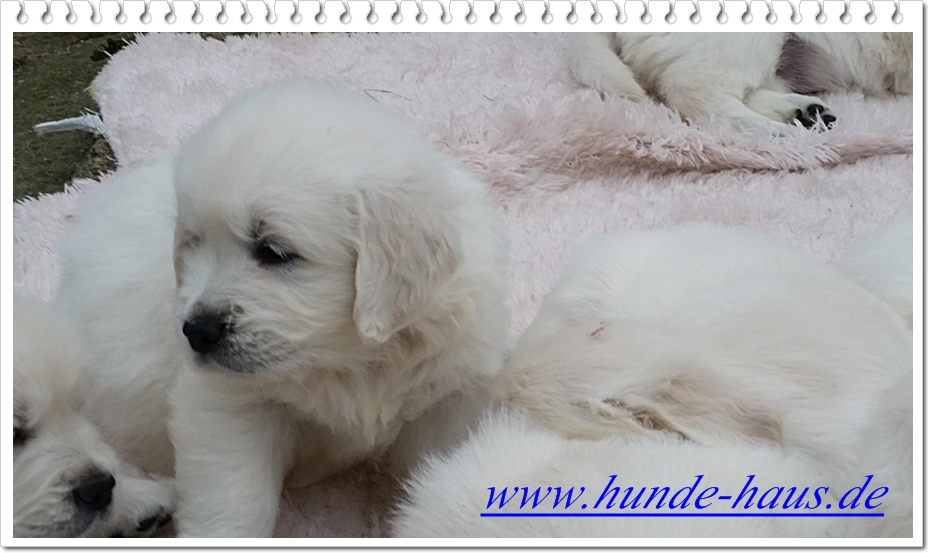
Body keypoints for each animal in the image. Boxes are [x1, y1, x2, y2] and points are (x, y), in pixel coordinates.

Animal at [53, 81, 508, 537]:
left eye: (274, 252)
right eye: (194, 243)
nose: (197, 331)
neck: (352, 360)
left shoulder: (449, 398)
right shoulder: (229, 407)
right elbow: (233, 506)